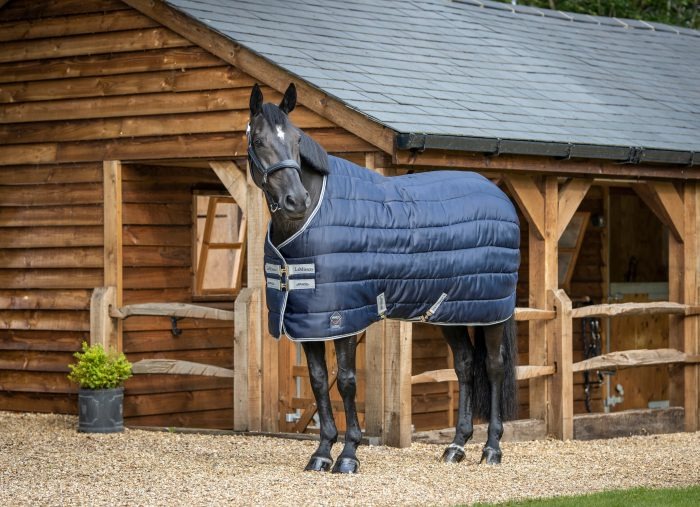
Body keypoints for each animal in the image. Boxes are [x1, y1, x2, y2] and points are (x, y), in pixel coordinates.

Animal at [247, 83, 520, 474]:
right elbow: (318, 382)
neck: (314, 215)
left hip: (491, 311)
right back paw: (456, 446)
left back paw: (492, 449)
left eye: (297, 139)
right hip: (450, 310)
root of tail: (500, 197)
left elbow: (347, 382)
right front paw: (321, 453)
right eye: (258, 140)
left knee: (494, 367)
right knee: (465, 365)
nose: (296, 200)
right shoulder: (307, 321)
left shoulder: (344, 318)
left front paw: (348, 455)